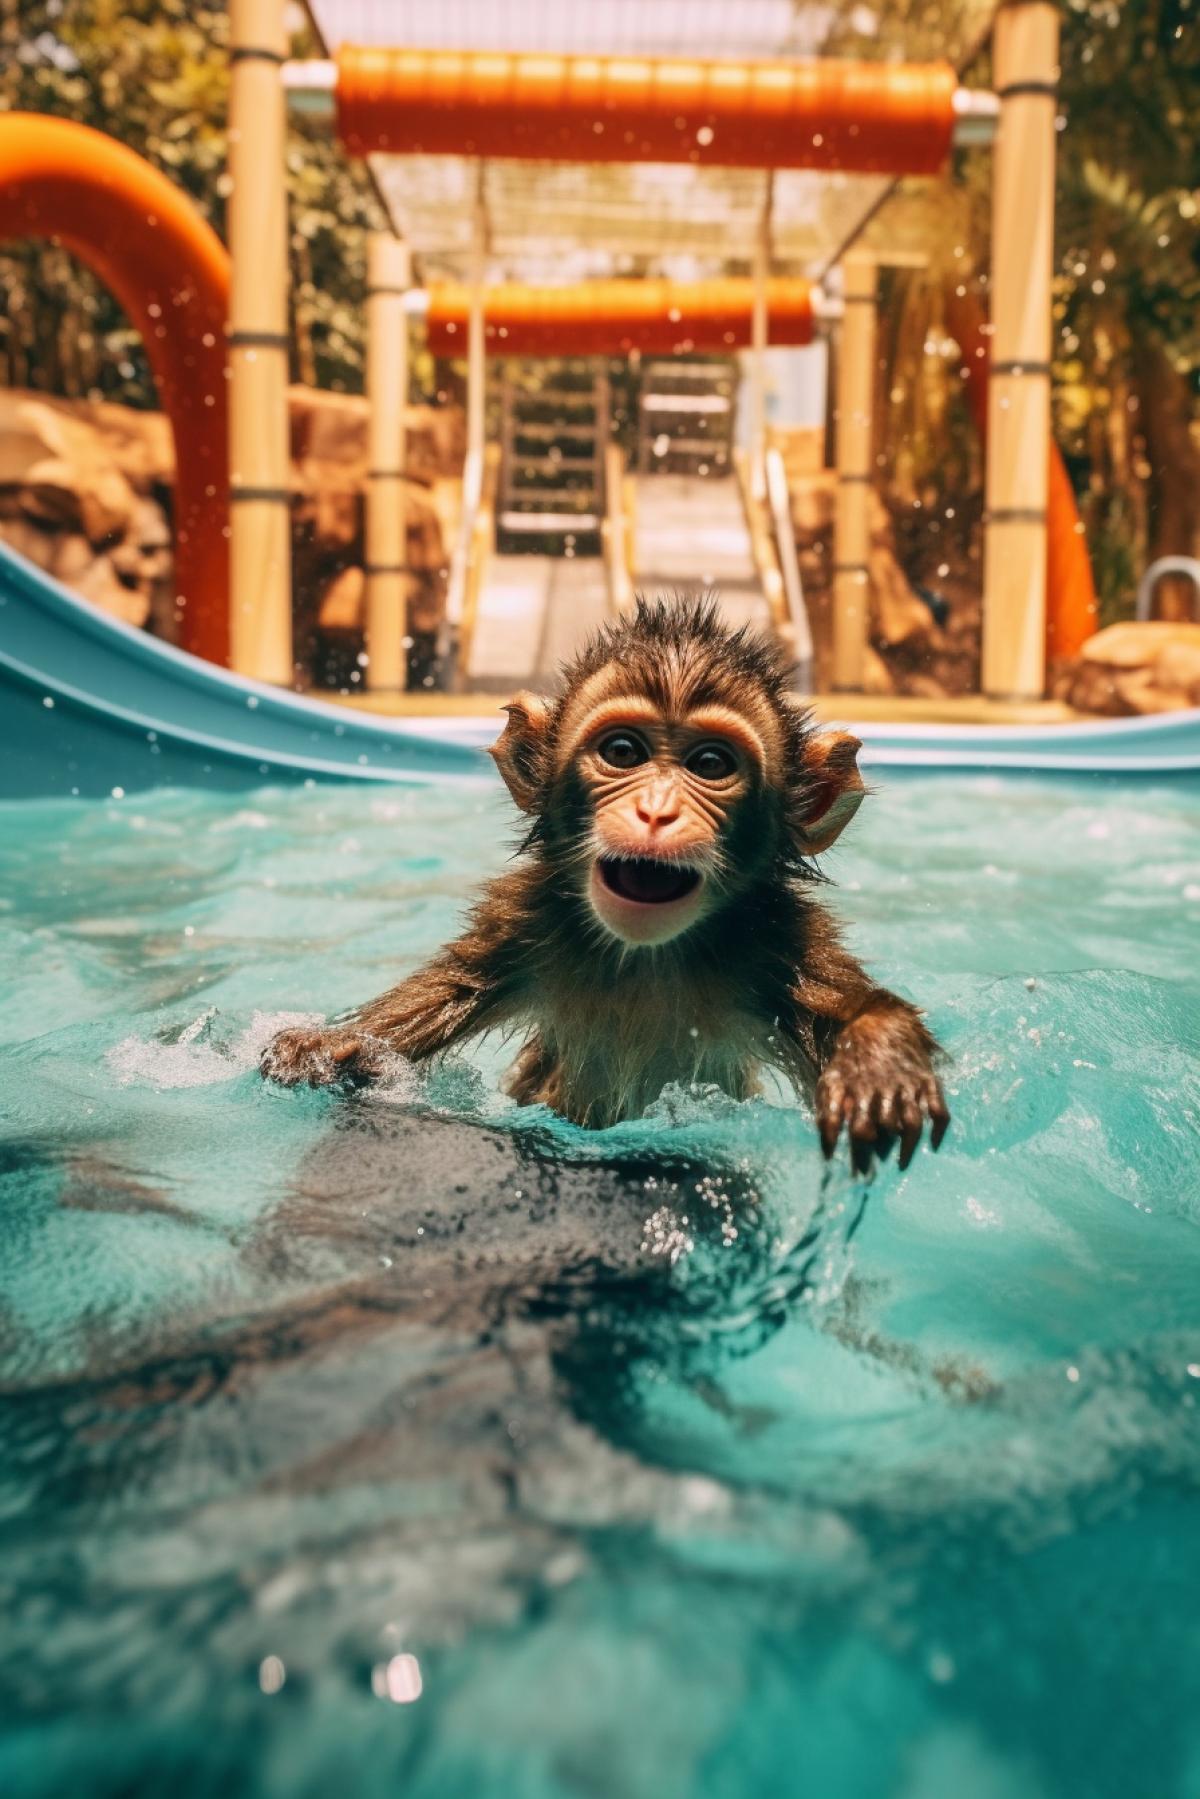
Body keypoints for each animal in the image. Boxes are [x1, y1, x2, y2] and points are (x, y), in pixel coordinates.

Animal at [261, 598, 949, 1170]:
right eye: (623, 752)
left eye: (710, 764)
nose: (656, 811)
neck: (645, 956)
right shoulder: (528, 914)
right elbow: (449, 988)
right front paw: (334, 1045)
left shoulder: (779, 936)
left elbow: (843, 1007)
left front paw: (877, 1056)